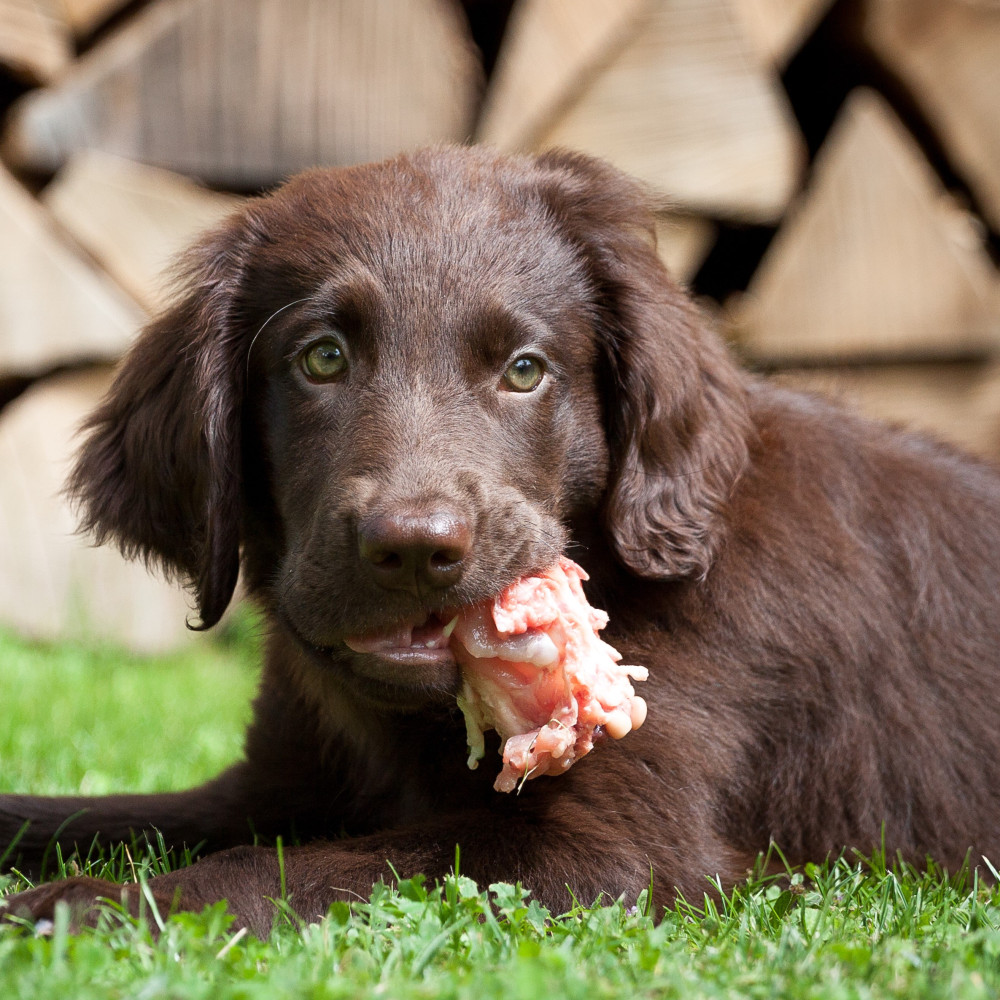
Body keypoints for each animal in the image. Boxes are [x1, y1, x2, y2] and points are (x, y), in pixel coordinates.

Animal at [1, 148, 1000, 936]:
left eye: (524, 370)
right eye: (321, 357)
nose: (414, 548)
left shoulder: (613, 847)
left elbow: (299, 866)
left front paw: (78, 905)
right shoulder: (264, 787)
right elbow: (83, 816)